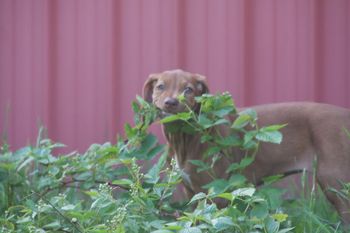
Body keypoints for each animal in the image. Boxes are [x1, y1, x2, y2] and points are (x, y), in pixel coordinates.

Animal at [142, 68, 350, 222]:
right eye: (160, 87)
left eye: (188, 90)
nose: (170, 102)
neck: (184, 139)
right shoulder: (191, 193)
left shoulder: (217, 190)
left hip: (335, 179)